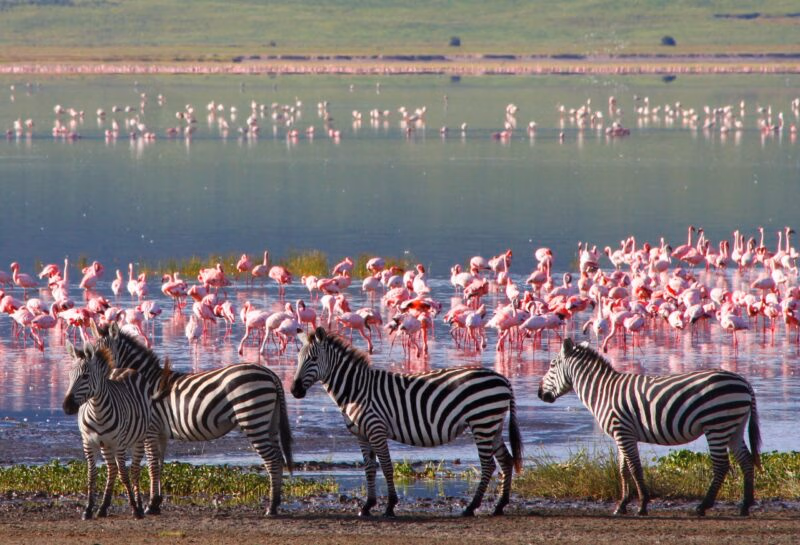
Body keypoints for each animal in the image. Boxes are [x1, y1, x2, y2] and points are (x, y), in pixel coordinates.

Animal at [63, 341, 151, 520]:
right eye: (69, 376)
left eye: (85, 376)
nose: (67, 407)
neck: (97, 411)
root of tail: (124, 369)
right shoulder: (88, 443)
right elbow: (92, 474)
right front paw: (88, 509)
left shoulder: (119, 444)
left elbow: (124, 474)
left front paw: (134, 508)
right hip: (106, 445)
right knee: (112, 470)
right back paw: (103, 507)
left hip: (138, 440)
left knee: (134, 470)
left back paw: (139, 505)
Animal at [90, 321, 293, 516]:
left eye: (102, 356)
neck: (144, 383)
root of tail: (271, 374)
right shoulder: (161, 433)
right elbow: (160, 464)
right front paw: (156, 503)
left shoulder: (150, 430)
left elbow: (152, 465)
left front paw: (150, 505)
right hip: (270, 422)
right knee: (278, 457)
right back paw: (276, 503)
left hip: (252, 418)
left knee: (272, 460)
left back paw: (271, 507)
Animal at [291, 326, 523, 517]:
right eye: (298, 358)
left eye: (313, 359)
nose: (294, 390)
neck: (356, 390)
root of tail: (503, 379)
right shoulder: (362, 435)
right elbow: (369, 468)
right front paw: (367, 506)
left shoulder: (376, 429)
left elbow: (386, 467)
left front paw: (390, 506)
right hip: (493, 424)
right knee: (506, 460)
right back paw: (500, 505)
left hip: (482, 422)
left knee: (488, 465)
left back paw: (471, 507)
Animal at [538, 338, 761, 516]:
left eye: (552, 365)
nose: (539, 394)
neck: (603, 391)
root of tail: (744, 382)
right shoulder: (621, 434)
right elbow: (623, 469)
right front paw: (622, 505)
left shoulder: (623, 432)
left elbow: (635, 468)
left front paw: (642, 505)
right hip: (733, 426)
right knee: (746, 461)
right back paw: (745, 506)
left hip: (717, 424)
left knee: (722, 465)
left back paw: (703, 506)